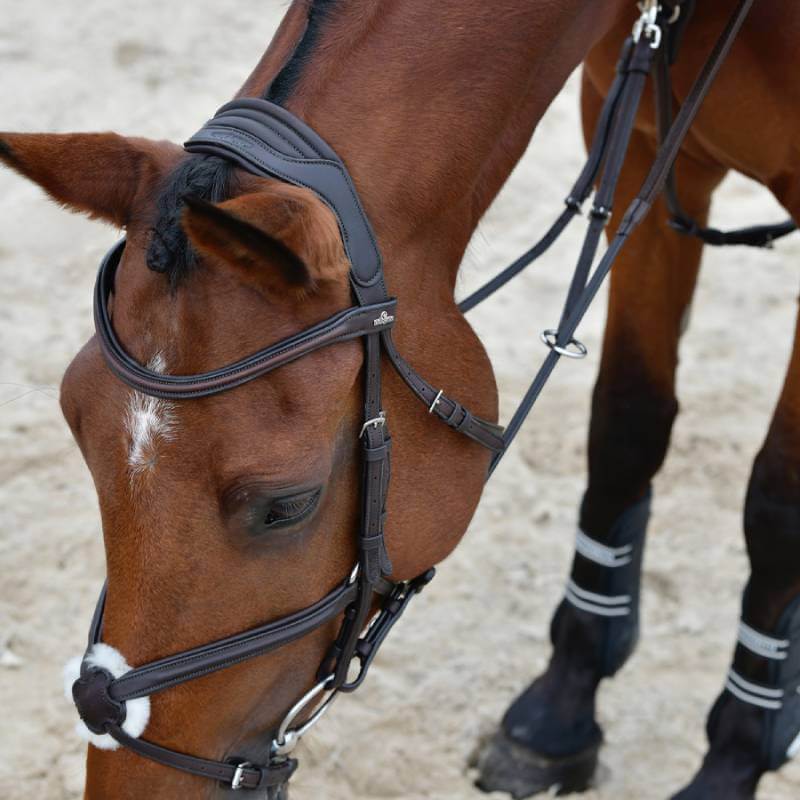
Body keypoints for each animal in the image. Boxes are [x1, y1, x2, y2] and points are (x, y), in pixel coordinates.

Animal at [1, 1, 798, 798]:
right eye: (77, 424)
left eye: (286, 505)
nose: (124, 760)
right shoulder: (646, 147)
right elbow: (627, 424)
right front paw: (561, 709)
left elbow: (774, 503)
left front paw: (733, 758)